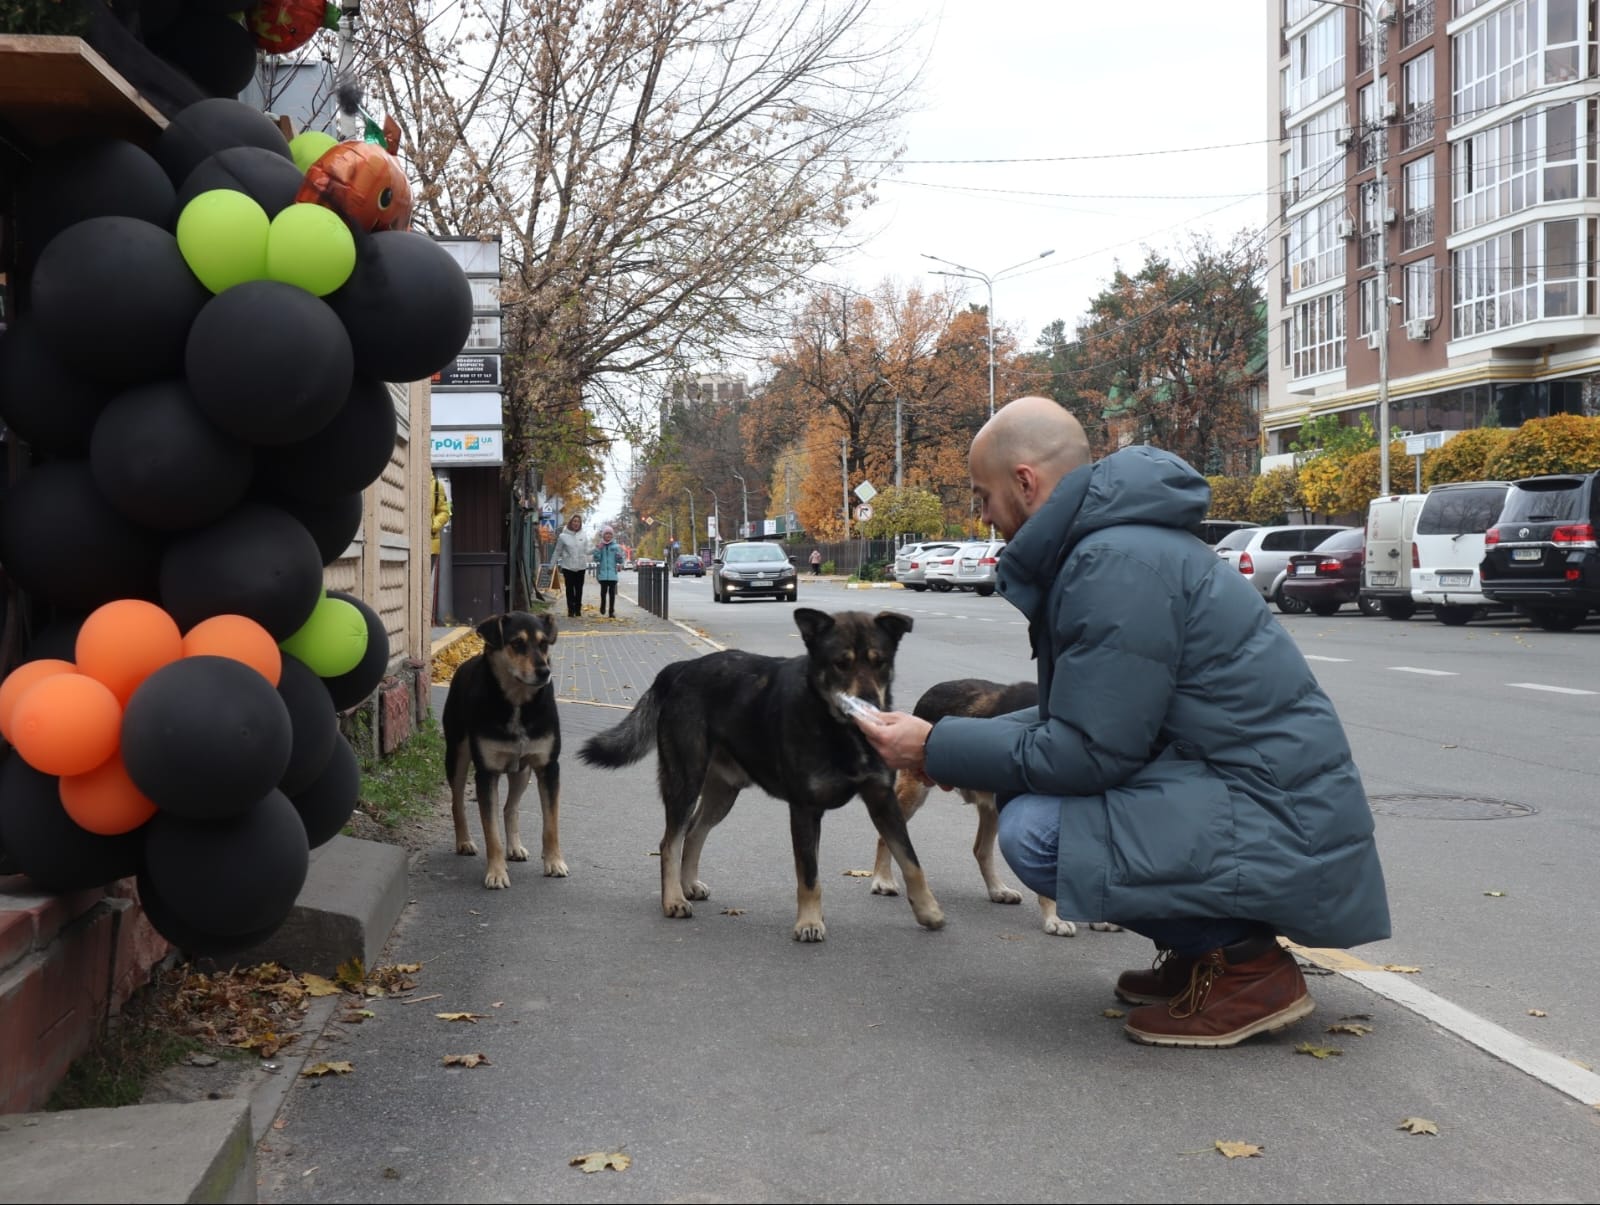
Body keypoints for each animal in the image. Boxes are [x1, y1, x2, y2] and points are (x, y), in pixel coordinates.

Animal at [438, 614, 569, 889]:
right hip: (457, 755)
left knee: (510, 808)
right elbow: (491, 833)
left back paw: (515, 848)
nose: (545, 672)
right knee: (457, 802)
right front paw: (496, 873)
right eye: (517, 643)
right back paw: (464, 842)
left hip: (522, 771)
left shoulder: (548, 767)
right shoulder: (486, 773)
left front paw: (554, 863)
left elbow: (550, 824)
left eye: (544, 644)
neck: (517, 703)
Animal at [582, 611, 940, 940]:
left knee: (694, 832)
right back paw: (673, 899)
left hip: (723, 792)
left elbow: (911, 861)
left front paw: (928, 910)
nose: (868, 703)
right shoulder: (805, 810)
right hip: (685, 780)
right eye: (840, 663)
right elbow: (809, 875)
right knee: (670, 841)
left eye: (880, 662)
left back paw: (688, 885)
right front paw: (809, 922)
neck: (836, 727)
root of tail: (681, 668)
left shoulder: (883, 801)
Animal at [870, 678, 1120, 940]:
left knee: (981, 850)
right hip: (915, 791)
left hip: (994, 808)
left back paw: (998, 890)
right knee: (886, 834)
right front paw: (1056, 918)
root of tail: (937, 688)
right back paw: (883, 880)